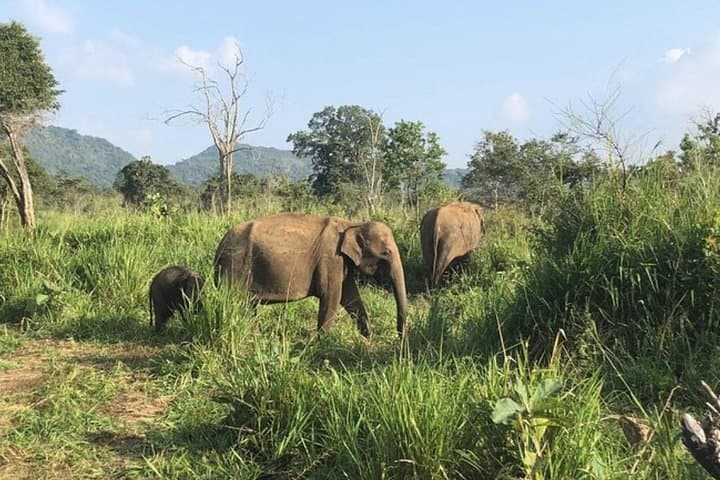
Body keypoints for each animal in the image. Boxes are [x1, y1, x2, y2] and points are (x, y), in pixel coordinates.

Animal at [213, 213, 408, 339]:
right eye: (386, 253)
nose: (400, 339)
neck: (351, 224)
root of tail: (220, 245)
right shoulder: (331, 260)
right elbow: (332, 297)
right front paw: (322, 342)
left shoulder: (342, 263)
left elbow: (350, 297)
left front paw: (367, 337)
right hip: (236, 265)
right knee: (236, 302)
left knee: (248, 305)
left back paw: (254, 334)